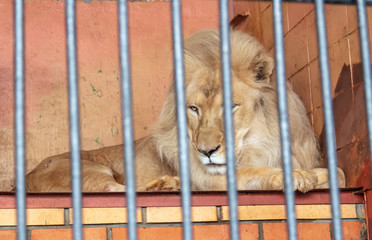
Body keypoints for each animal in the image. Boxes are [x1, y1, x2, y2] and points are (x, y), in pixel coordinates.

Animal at [25, 29, 346, 192]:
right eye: (193, 109)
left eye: (231, 107)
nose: (206, 151)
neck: (257, 143)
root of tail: (24, 178)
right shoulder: (209, 177)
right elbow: (253, 173)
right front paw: (294, 177)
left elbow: (340, 173)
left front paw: (313, 175)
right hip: (92, 172)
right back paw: (166, 184)